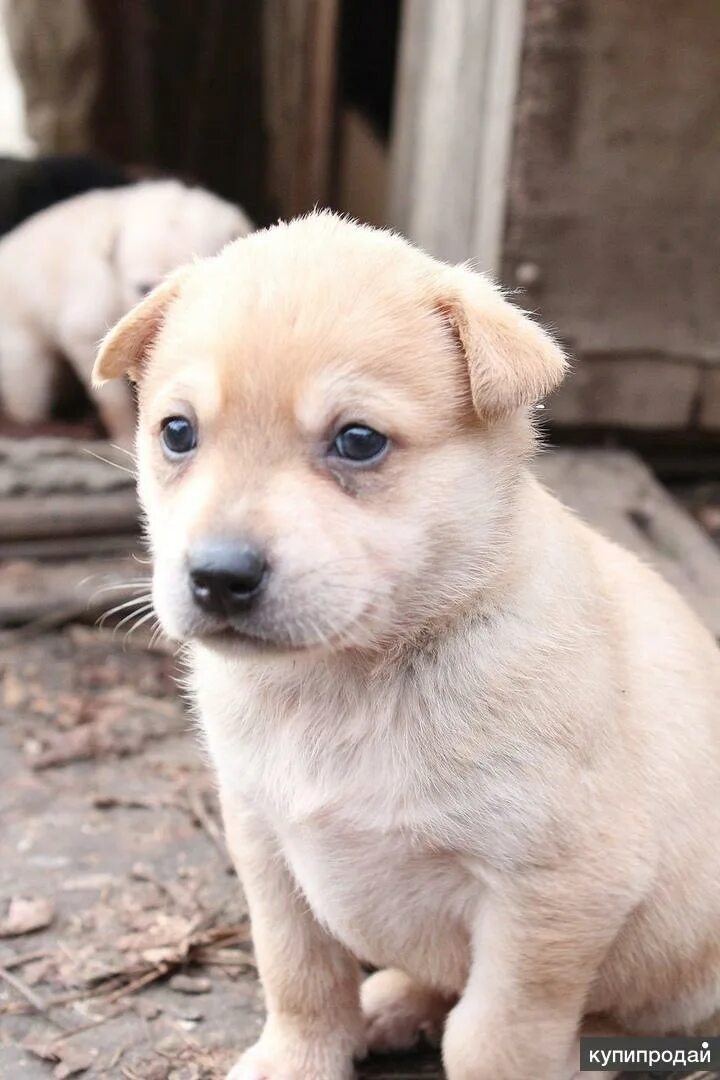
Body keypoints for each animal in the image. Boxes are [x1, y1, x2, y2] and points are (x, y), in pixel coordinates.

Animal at [94, 212, 720, 1080]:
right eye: (177, 433)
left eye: (358, 441)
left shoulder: (554, 892)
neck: (348, 681)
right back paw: (394, 1003)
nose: (218, 577)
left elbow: (494, 1037)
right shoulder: (264, 845)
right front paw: (299, 1057)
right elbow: (299, 976)